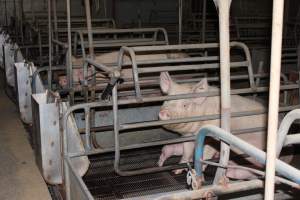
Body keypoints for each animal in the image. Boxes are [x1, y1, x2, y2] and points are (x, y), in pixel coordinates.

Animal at [157, 72, 290, 178]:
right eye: (167, 100)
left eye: (185, 105)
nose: (164, 113)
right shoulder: (187, 136)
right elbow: (186, 152)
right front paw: (176, 171)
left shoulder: (212, 135)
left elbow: (206, 154)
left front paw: (198, 171)